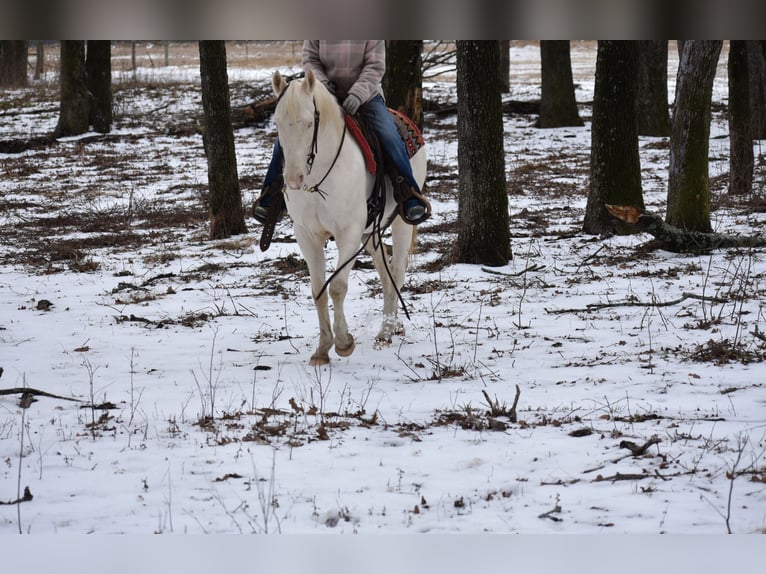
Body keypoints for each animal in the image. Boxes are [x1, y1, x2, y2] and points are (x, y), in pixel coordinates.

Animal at [270, 69, 427, 366]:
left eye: (310, 123)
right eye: (277, 123)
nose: (293, 179)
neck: (319, 177)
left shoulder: (349, 233)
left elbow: (338, 287)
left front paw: (343, 343)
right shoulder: (307, 236)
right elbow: (318, 291)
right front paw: (322, 350)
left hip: (400, 222)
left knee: (398, 270)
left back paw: (387, 331)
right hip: (370, 233)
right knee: (385, 272)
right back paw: (391, 326)